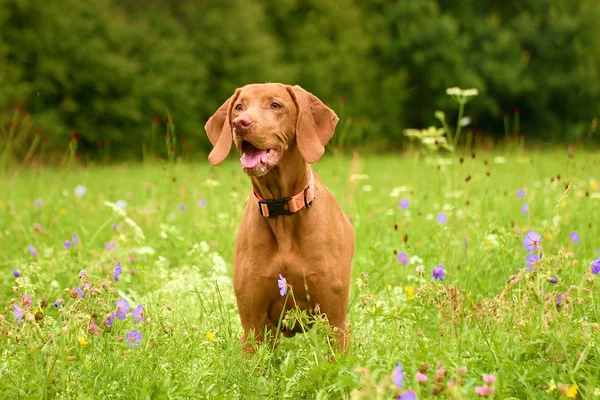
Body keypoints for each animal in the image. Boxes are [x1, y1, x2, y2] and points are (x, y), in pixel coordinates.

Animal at [206, 83, 356, 352]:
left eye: (276, 105)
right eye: (239, 107)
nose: (239, 123)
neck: (282, 210)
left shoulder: (335, 320)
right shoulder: (253, 324)